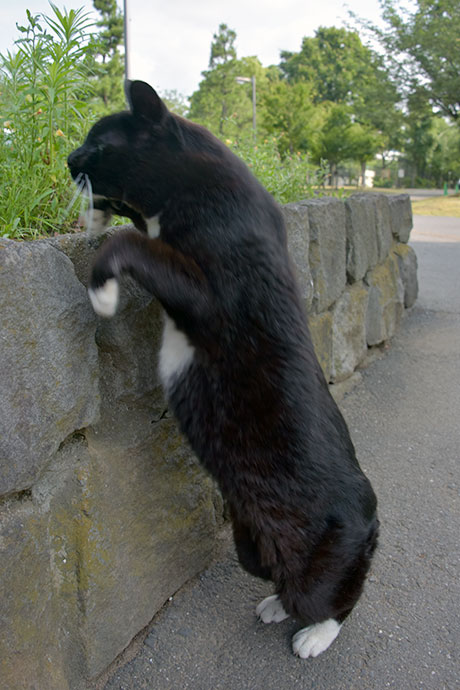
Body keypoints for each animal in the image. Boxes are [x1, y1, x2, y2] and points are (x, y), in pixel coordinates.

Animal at [67, 80, 378, 656]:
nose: (69, 158)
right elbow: (127, 229)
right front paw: (95, 214)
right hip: (250, 545)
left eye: (97, 143)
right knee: (276, 577)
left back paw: (315, 634)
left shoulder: (204, 293)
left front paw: (101, 291)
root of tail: (370, 512)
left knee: (332, 600)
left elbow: (128, 243)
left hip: (324, 568)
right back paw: (276, 605)